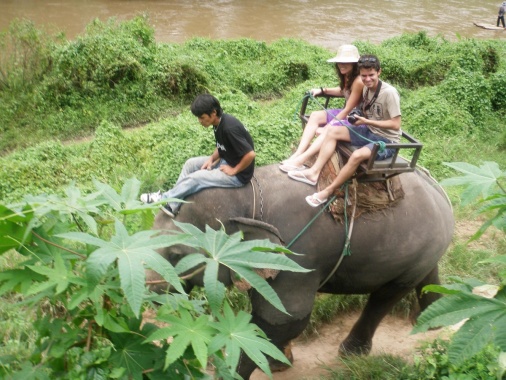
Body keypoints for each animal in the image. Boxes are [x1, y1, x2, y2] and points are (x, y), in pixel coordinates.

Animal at [146, 165, 454, 378]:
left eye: (176, 255)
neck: (249, 195)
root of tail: (438, 189)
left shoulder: (297, 254)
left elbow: (287, 317)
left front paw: (240, 371)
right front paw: (278, 363)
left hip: (414, 255)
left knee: (385, 296)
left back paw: (351, 353)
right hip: (426, 250)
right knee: (425, 277)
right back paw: (431, 322)